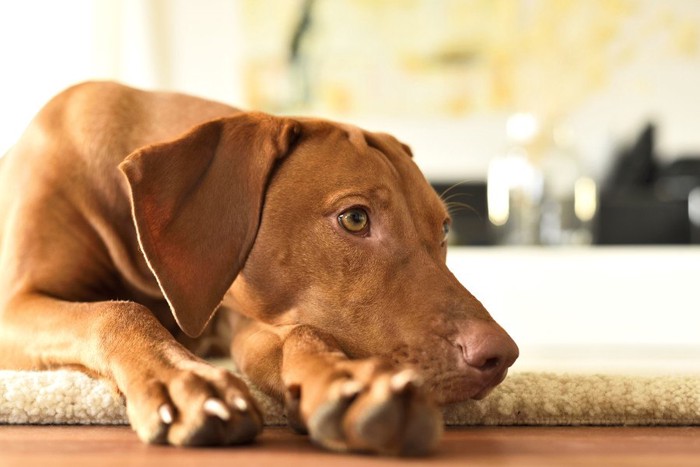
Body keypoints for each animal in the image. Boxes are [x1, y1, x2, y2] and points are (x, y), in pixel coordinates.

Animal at [0, 82, 516, 456]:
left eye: (444, 229)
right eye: (355, 218)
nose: (501, 356)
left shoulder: (243, 309)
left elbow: (297, 333)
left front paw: (349, 382)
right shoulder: (15, 305)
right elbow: (115, 310)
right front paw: (186, 382)